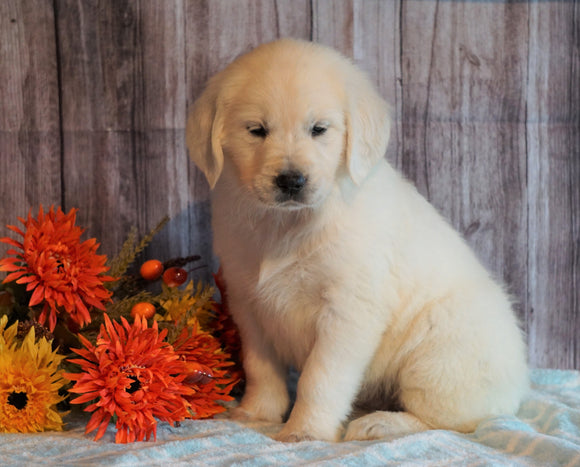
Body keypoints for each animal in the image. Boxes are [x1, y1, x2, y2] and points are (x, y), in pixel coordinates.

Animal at [187, 39, 532, 442]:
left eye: (319, 129)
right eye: (256, 130)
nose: (291, 180)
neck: (287, 224)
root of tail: (521, 383)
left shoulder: (347, 310)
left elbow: (319, 379)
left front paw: (304, 431)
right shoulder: (249, 304)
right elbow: (261, 369)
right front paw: (256, 414)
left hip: (438, 354)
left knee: (454, 421)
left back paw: (379, 423)